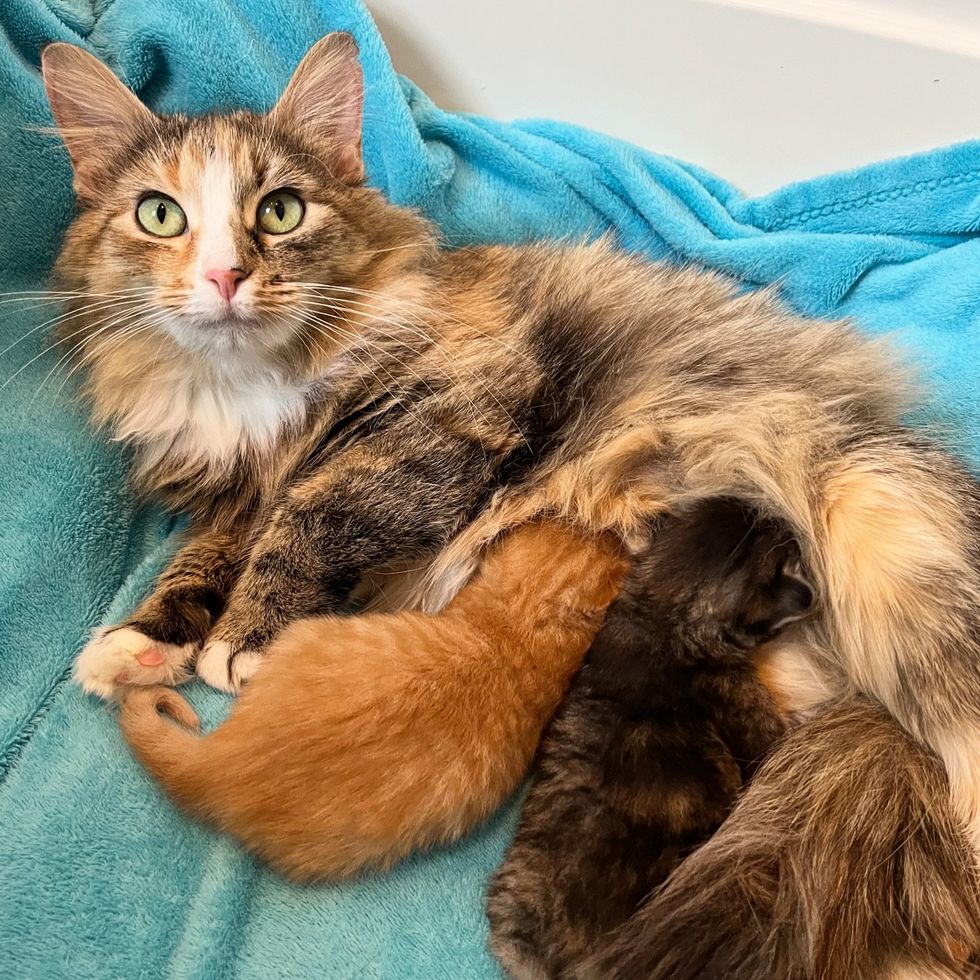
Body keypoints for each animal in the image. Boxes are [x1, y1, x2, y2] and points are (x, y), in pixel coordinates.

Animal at [42, 30, 980, 972]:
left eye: (280, 212)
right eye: (160, 216)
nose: (226, 276)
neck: (246, 392)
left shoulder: (447, 417)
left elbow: (310, 516)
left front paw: (243, 640)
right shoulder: (233, 493)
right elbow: (202, 557)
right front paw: (142, 642)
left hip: (888, 536)